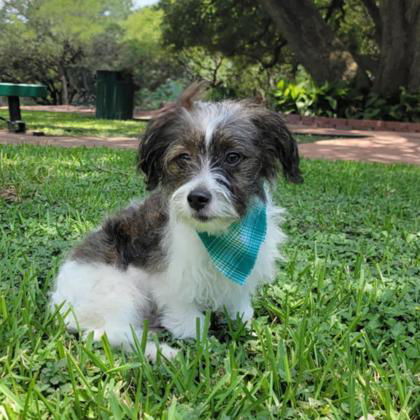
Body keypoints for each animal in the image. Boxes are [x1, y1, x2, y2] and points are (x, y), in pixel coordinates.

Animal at [50, 84, 304, 360]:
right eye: (183, 157)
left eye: (233, 157)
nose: (197, 198)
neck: (221, 235)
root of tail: (60, 305)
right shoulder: (171, 277)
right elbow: (188, 316)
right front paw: (197, 341)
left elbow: (238, 303)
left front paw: (244, 322)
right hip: (117, 291)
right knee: (107, 334)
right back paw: (161, 352)